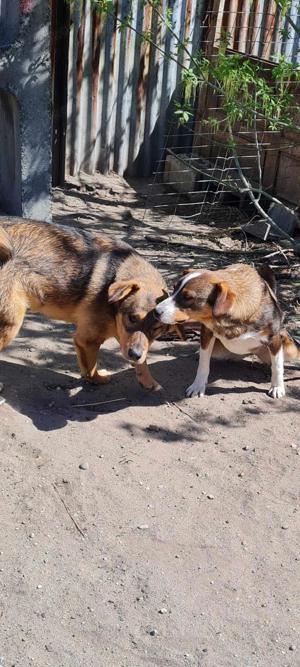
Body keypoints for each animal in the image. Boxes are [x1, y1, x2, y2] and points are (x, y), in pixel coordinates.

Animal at [0, 217, 169, 394]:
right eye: (132, 318)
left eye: (157, 328)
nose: (134, 354)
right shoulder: (88, 340)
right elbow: (91, 368)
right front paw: (98, 379)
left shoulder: (125, 337)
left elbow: (143, 360)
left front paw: (148, 381)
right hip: (11, 325)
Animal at [156, 264, 298, 402]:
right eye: (174, 288)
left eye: (188, 297)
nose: (155, 312)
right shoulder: (206, 333)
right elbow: (203, 363)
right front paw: (198, 385)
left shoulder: (274, 340)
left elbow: (277, 366)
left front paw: (277, 387)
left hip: (289, 349)